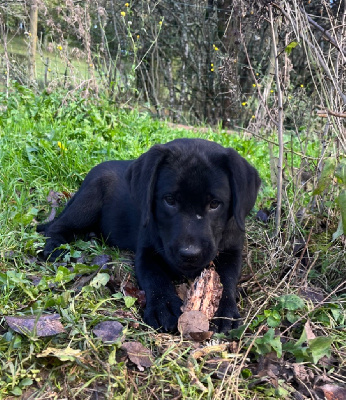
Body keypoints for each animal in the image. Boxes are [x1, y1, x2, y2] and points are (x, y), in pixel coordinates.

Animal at [37, 139, 260, 332]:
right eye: (169, 200)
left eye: (214, 204)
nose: (190, 254)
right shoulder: (147, 252)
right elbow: (155, 276)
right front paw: (164, 306)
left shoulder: (232, 252)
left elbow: (226, 280)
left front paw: (225, 311)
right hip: (88, 202)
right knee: (57, 226)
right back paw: (55, 248)